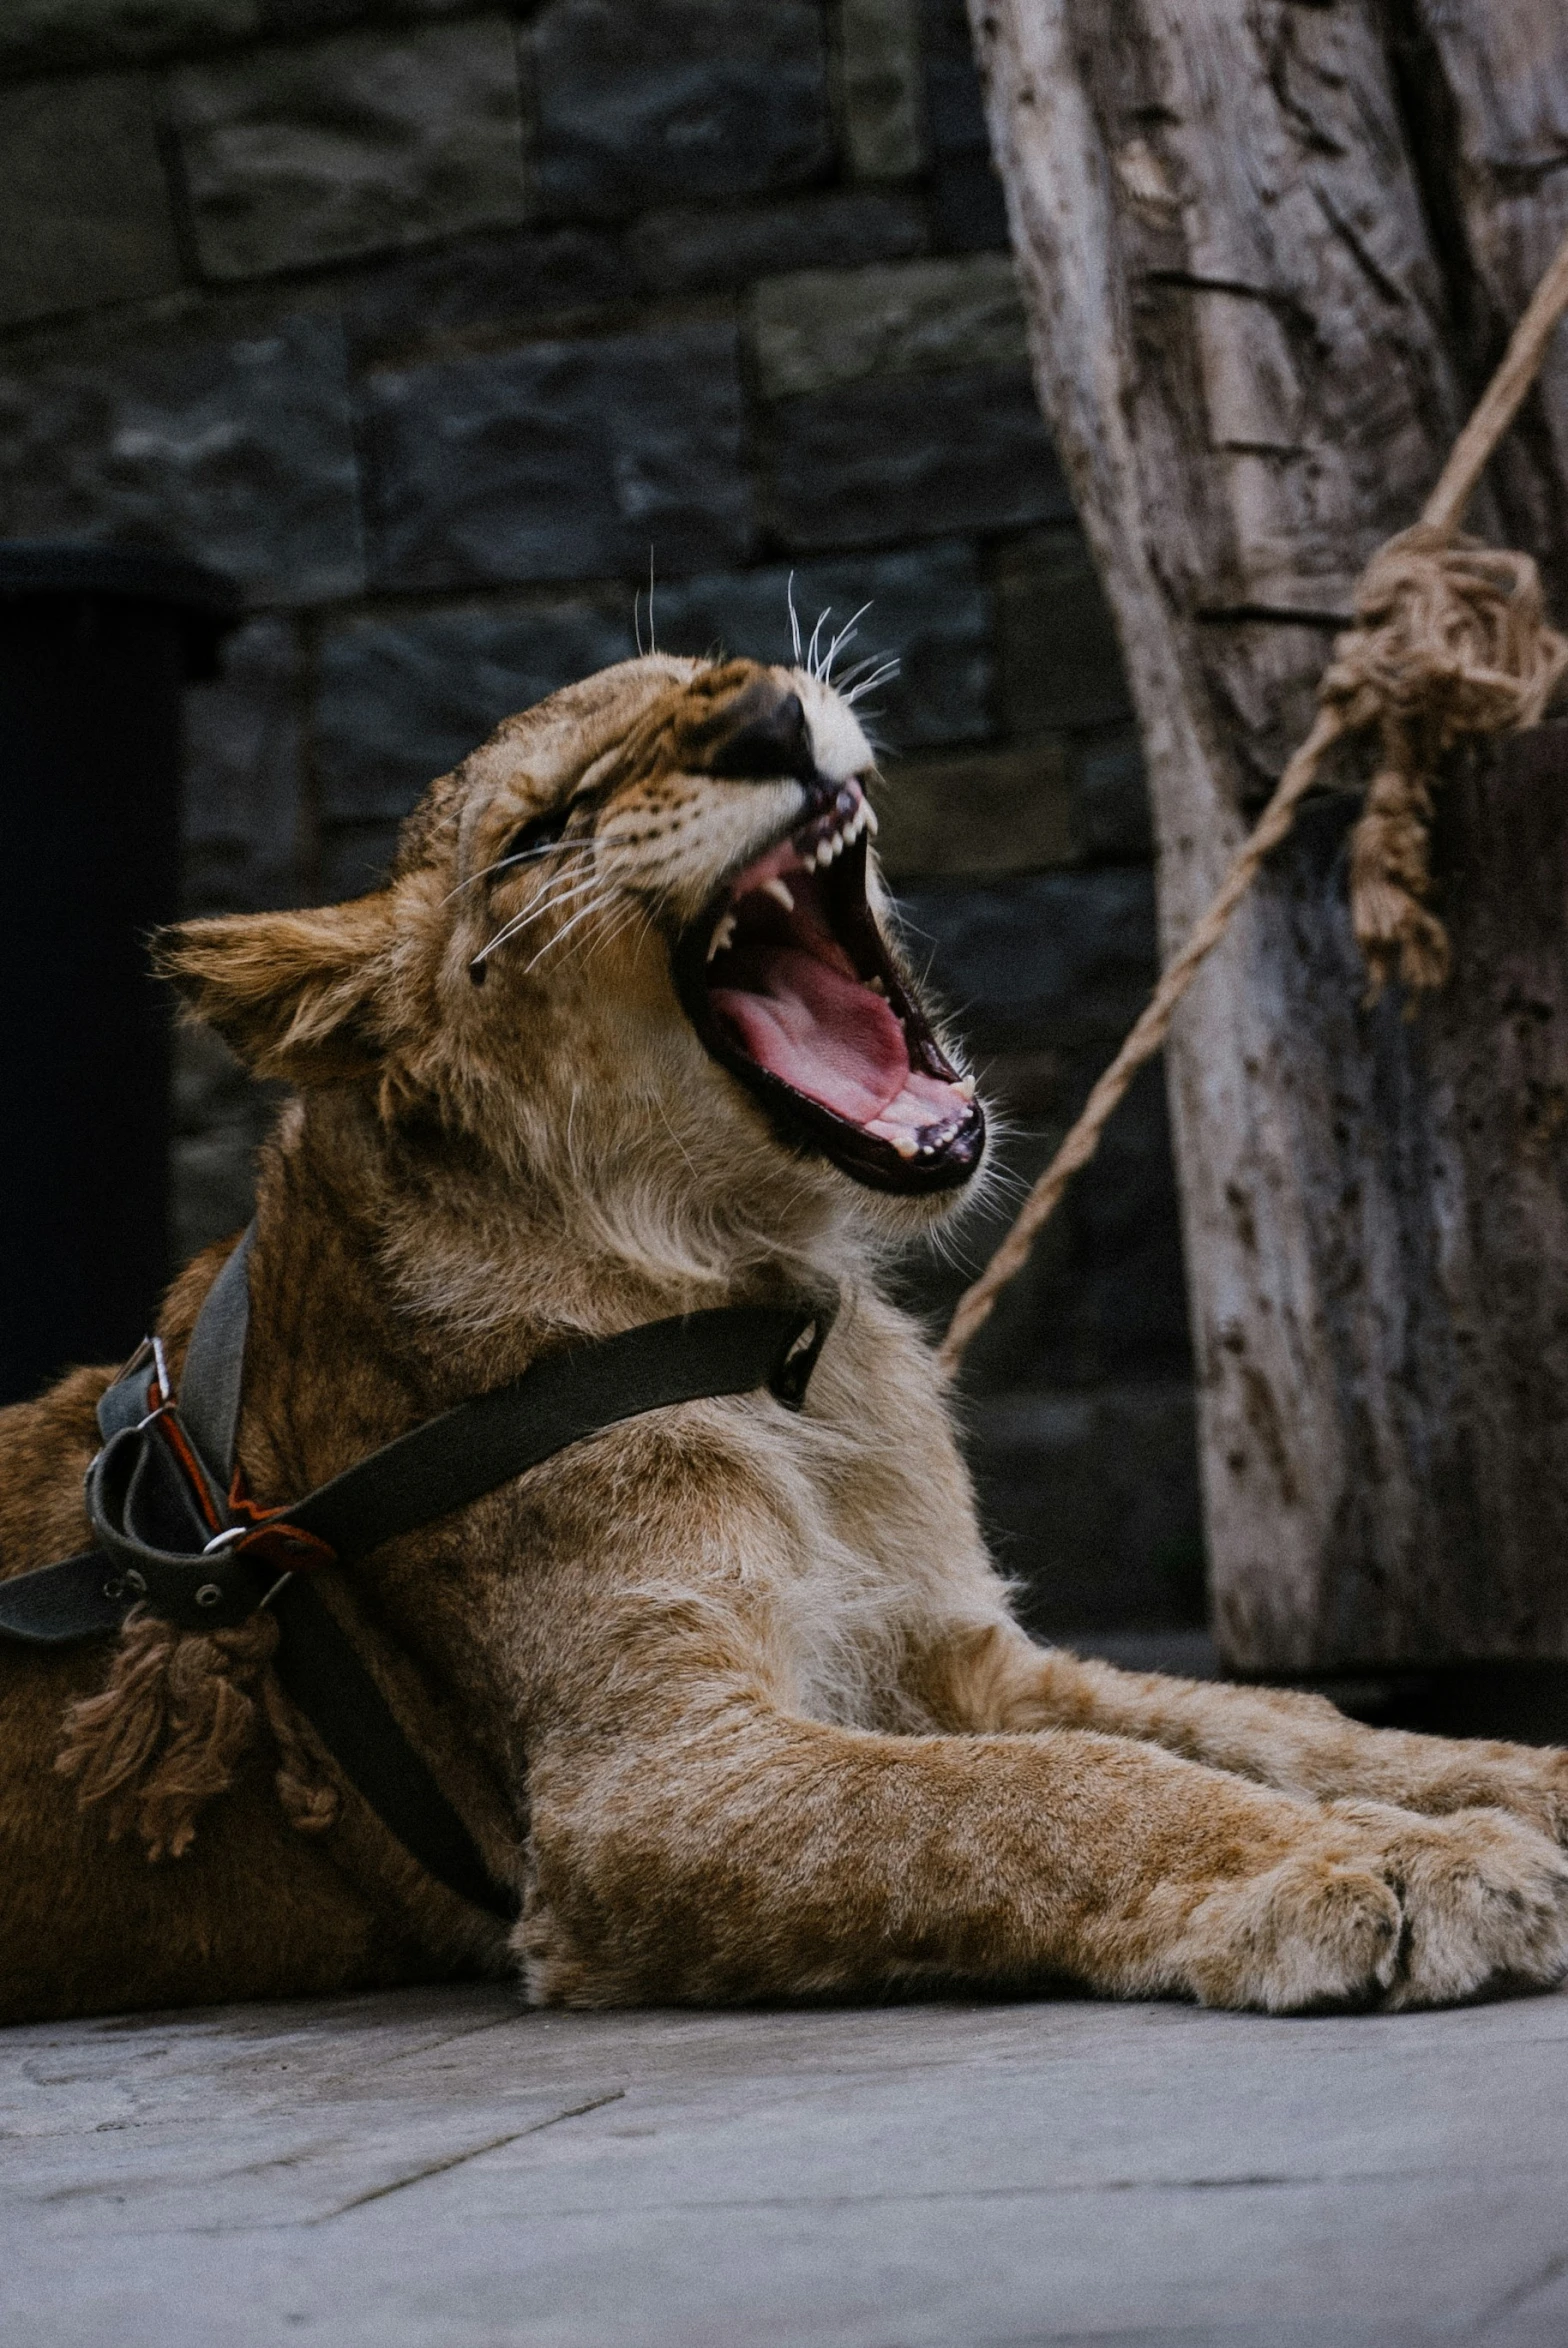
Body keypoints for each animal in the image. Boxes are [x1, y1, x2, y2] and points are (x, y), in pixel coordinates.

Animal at [3, 652, 1568, 2028]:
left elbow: (1286, 1723)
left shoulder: (954, 1652)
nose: (763, 711)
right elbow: (1055, 1789)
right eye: (541, 828)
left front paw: (1510, 1782)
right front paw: (1375, 1862)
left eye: (706, 666)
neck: (779, 1317)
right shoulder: (645, 1787)